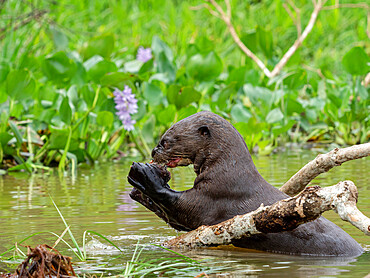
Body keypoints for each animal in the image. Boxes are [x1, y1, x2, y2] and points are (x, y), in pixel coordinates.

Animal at [126, 111, 362, 256]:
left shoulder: (215, 194)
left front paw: (145, 175)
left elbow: (185, 209)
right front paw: (138, 192)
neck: (228, 171)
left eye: (165, 141)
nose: (153, 151)